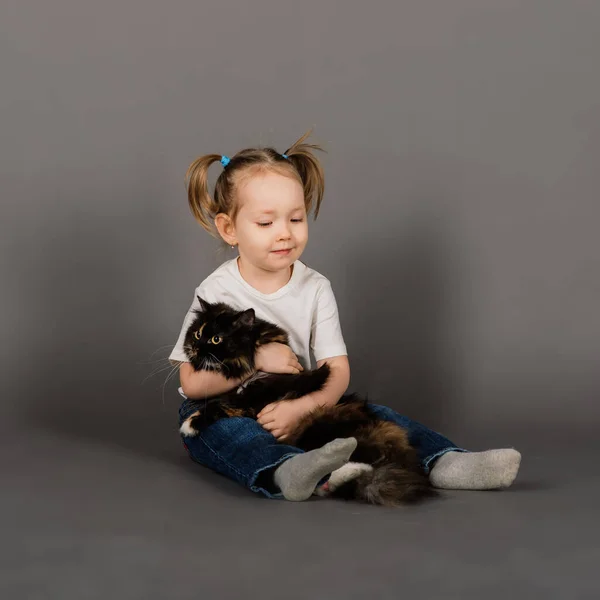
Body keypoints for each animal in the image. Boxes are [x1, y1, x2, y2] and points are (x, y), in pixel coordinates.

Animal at [178, 298, 436, 504]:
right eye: (198, 333)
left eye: (216, 339)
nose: (195, 347)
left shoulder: (256, 398)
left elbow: (218, 405)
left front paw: (189, 424)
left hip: (322, 428)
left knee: (357, 466)